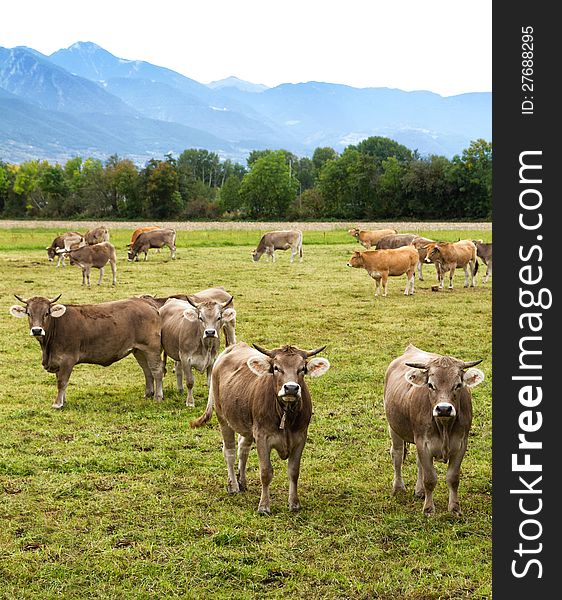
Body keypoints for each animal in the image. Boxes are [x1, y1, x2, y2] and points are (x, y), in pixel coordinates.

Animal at [8, 294, 163, 408]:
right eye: (29, 313)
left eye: (46, 313)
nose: (37, 330)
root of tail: (146, 302)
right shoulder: (57, 360)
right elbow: (59, 380)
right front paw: (63, 400)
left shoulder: (67, 359)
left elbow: (62, 381)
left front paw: (57, 404)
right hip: (139, 350)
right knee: (147, 370)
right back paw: (148, 394)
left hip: (152, 348)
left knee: (157, 370)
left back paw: (158, 397)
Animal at [189, 342, 328, 516]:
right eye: (276, 367)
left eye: (302, 368)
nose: (290, 388)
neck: (285, 416)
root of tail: (234, 347)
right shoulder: (262, 437)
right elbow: (266, 472)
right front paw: (263, 506)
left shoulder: (300, 437)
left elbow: (294, 471)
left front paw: (294, 504)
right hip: (223, 418)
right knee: (229, 452)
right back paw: (233, 485)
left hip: (247, 426)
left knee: (243, 449)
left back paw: (242, 481)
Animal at [382, 344, 484, 516]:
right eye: (430, 385)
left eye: (458, 385)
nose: (443, 409)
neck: (444, 427)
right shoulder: (423, 443)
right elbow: (430, 478)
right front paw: (428, 509)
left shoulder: (461, 444)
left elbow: (453, 478)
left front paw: (454, 508)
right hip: (394, 427)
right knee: (396, 454)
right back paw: (398, 488)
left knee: (418, 463)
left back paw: (419, 491)